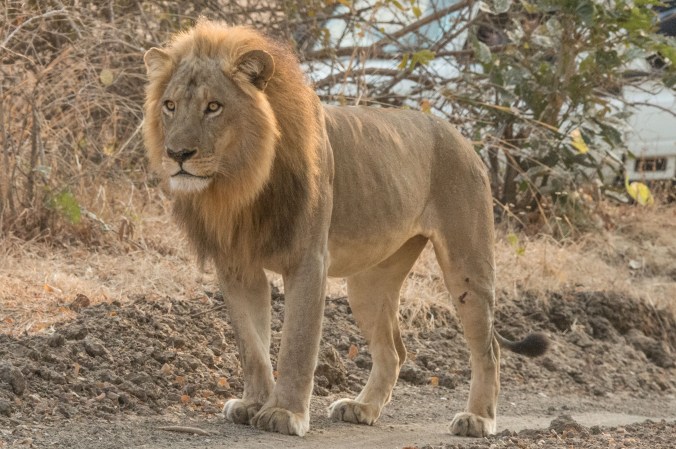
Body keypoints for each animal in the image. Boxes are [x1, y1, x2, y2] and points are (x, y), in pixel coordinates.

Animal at [143, 19, 548, 438]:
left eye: (214, 107)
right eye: (170, 105)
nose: (176, 154)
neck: (240, 183)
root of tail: (460, 136)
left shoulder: (308, 261)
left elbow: (297, 344)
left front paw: (283, 412)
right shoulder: (237, 265)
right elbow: (251, 345)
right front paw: (253, 404)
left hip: (468, 264)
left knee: (488, 348)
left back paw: (478, 418)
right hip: (369, 283)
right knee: (394, 351)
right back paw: (362, 407)